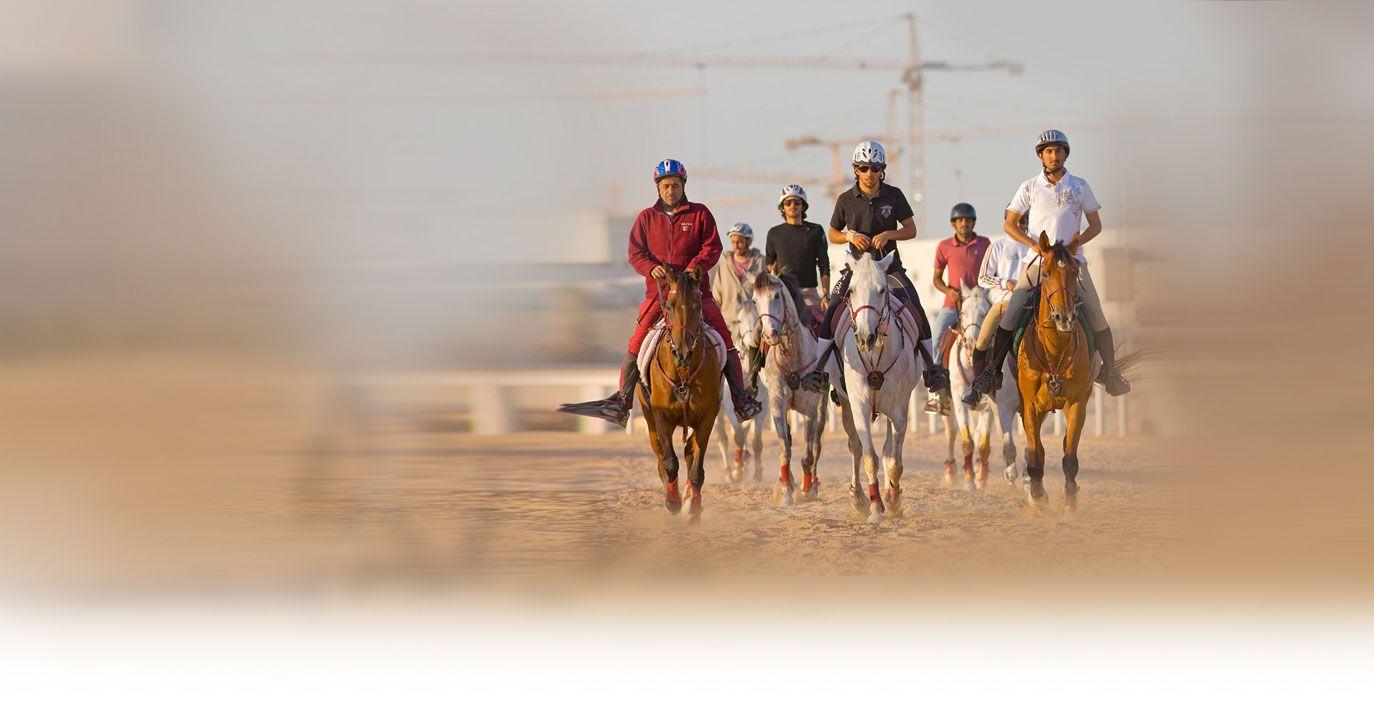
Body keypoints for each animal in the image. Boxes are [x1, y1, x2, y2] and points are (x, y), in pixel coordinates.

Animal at [640, 264, 730, 517]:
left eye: (697, 306)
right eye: (669, 306)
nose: (682, 353)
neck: (683, 372)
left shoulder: (707, 417)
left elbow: (696, 465)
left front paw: (694, 507)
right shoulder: (661, 416)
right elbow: (670, 461)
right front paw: (673, 501)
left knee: (689, 451)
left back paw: (690, 495)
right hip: (649, 418)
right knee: (661, 455)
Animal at [714, 284, 769, 481]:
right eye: (739, 320)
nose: (752, 343)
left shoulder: (763, 404)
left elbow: (756, 439)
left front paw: (758, 473)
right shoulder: (730, 406)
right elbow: (737, 435)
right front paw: (737, 470)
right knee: (723, 438)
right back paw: (729, 472)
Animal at [752, 268, 824, 500]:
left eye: (776, 296)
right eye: (755, 300)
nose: (769, 334)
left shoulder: (810, 408)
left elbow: (808, 452)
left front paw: (807, 488)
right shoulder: (777, 403)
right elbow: (785, 446)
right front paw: (785, 487)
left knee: (817, 443)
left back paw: (814, 482)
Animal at [818, 248, 917, 522]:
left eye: (882, 290)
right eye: (851, 290)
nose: (865, 337)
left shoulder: (899, 409)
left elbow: (894, 460)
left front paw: (892, 500)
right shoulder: (859, 405)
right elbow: (870, 457)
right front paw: (875, 507)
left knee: (888, 450)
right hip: (846, 405)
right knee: (855, 447)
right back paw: (858, 497)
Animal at [1022, 232, 1093, 511]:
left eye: (1075, 272)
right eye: (1046, 272)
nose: (1065, 318)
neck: (1054, 351)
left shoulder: (1077, 404)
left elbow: (1070, 458)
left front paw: (1070, 505)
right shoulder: (1030, 406)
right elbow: (1035, 457)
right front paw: (1038, 496)